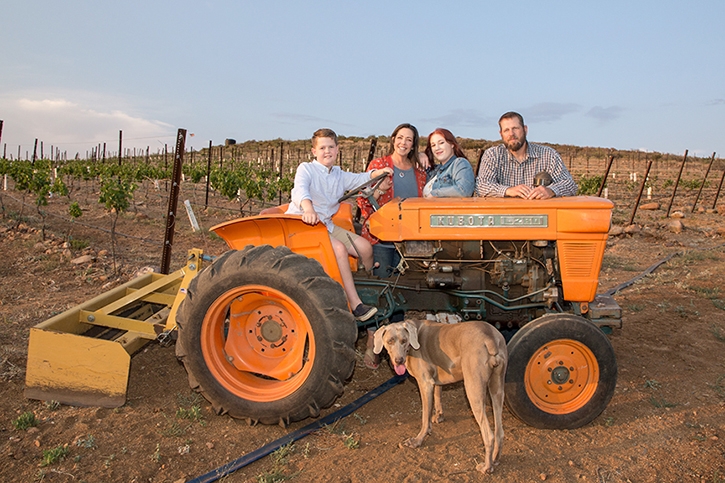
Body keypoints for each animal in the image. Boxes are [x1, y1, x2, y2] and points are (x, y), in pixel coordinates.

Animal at [374, 320, 510, 474]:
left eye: (404, 340)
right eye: (390, 341)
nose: (399, 360)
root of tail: (490, 336)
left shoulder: (425, 383)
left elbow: (425, 416)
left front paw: (418, 440)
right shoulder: (435, 380)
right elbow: (437, 395)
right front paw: (439, 416)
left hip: (473, 388)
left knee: (489, 435)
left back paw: (486, 467)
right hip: (497, 387)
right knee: (499, 432)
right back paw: (496, 459)